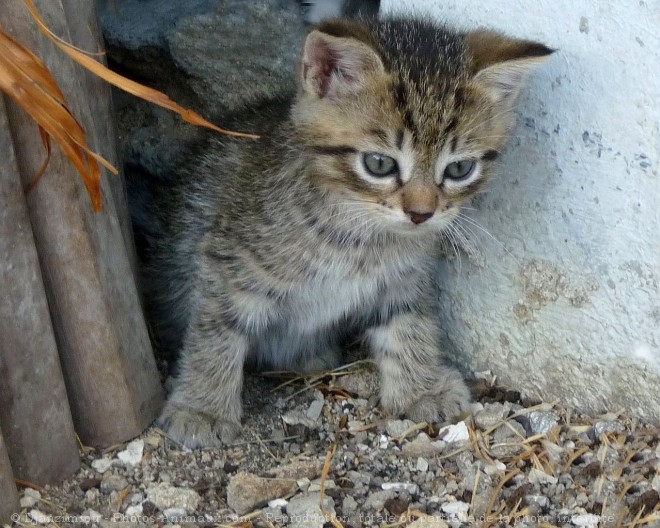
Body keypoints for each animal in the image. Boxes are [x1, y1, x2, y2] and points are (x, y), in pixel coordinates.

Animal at [137, 16, 556, 448]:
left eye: (459, 169)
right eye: (379, 164)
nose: (421, 214)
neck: (360, 233)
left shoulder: (403, 277)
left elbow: (409, 321)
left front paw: (421, 387)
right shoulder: (229, 260)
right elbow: (216, 332)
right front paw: (201, 407)